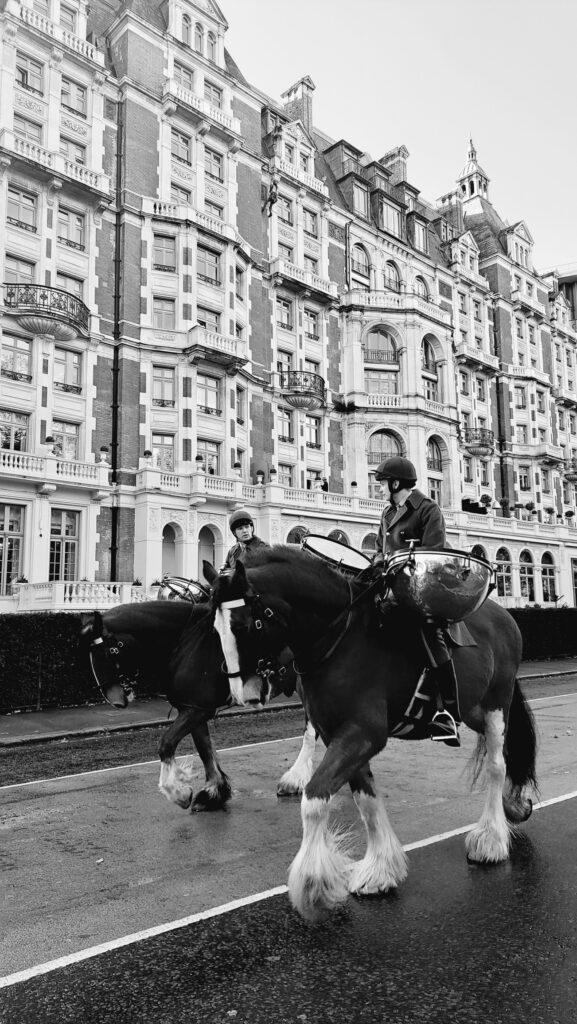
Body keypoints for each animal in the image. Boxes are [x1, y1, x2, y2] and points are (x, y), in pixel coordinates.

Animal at [82, 598, 303, 806]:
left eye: (109, 651)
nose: (114, 700)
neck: (187, 641)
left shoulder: (197, 710)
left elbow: (166, 743)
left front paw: (177, 792)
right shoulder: (194, 706)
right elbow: (204, 748)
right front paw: (213, 791)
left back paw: (294, 780)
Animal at [207, 548, 537, 925]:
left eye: (244, 625)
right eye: (214, 627)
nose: (242, 694)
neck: (341, 640)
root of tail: (503, 615)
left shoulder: (362, 733)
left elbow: (314, 798)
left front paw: (313, 884)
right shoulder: (342, 736)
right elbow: (365, 800)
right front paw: (380, 869)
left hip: (497, 703)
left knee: (497, 765)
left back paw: (491, 839)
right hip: (472, 710)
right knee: (506, 752)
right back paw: (514, 802)